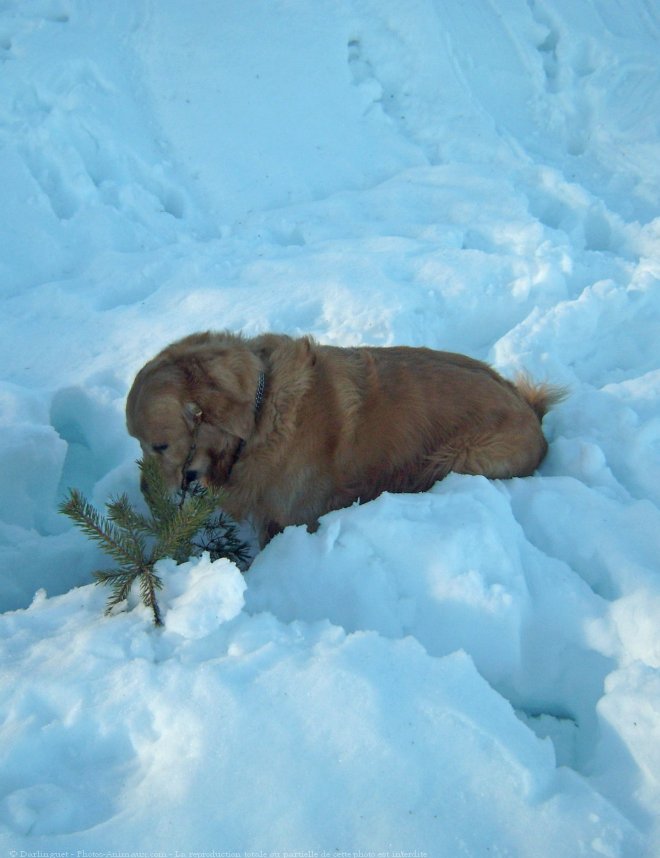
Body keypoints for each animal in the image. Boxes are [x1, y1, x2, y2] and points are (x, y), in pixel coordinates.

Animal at [125, 332, 564, 544]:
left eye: (160, 445)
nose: (144, 493)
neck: (261, 414)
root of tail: (531, 411)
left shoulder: (295, 520)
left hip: (459, 459)